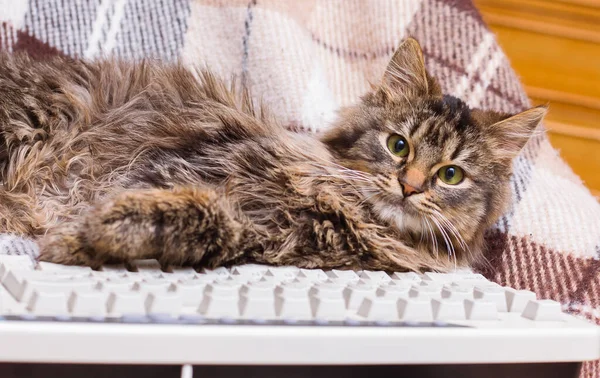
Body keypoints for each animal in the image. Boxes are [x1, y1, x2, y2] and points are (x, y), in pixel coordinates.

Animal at [0, 38, 548, 272]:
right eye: (398, 146)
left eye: (451, 175)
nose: (410, 185)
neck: (352, 211)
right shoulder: (187, 161)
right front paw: (76, 235)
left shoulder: (256, 233)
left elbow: (201, 221)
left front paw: (89, 238)